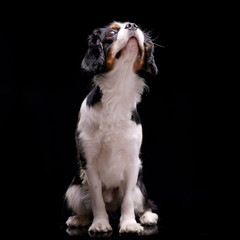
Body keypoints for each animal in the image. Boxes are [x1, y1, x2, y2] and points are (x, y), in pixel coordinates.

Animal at [65, 21, 159, 233]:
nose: (132, 25)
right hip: (73, 190)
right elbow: (97, 199)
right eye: (111, 32)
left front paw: (129, 223)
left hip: (140, 189)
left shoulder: (133, 162)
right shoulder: (89, 162)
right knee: (86, 207)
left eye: (136, 26)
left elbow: (128, 200)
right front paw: (100, 223)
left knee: (145, 203)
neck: (117, 91)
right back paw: (79, 219)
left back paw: (148, 216)